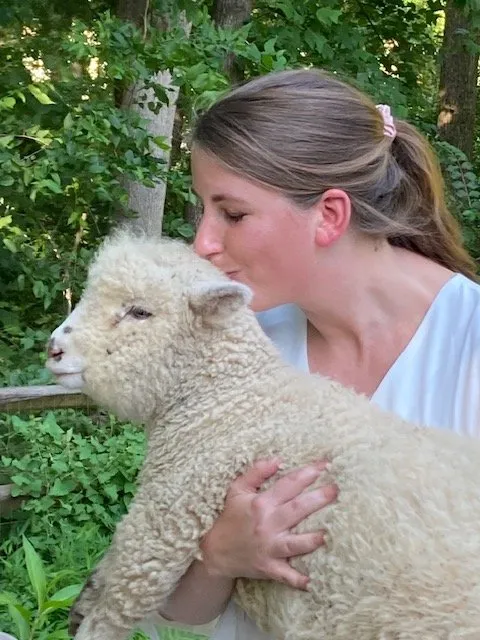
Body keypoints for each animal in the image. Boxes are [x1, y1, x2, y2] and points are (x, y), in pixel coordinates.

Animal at [46, 231, 480, 640]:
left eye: (139, 311)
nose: (54, 348)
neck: (235, 397)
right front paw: (83, 599)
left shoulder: (170, 512)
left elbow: (117, 601)